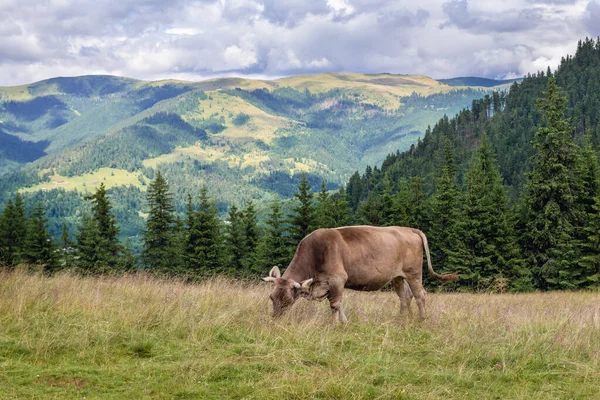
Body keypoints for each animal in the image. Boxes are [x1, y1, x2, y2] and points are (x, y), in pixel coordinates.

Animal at [260, 225, 458, 322]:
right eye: (271, 297)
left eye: (288, 300)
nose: (275, 319)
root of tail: (409, 229)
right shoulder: (328, 285)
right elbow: (339, 304)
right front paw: (345, 322)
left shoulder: (338, 279)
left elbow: (335, 305)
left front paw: (334, 325)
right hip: (398, 276)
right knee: (405, 296)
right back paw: (402, 319)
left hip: (414, 273)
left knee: (419, 295)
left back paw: (422, 320)